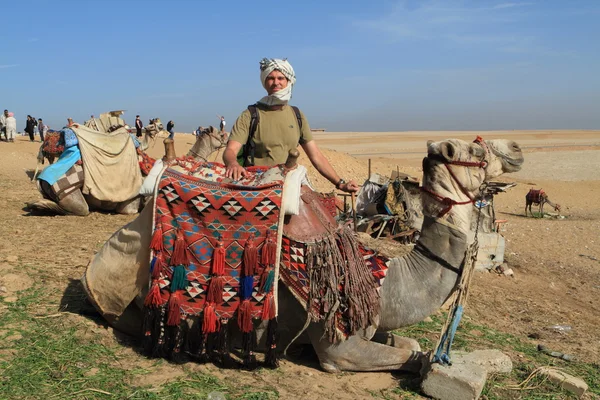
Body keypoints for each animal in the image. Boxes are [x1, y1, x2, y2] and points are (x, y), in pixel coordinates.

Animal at [82, 136, 524, 374]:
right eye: (478, 153)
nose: (517, 148)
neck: (385, 282)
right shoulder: (338, 348)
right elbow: (410, 356)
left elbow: (408, 343)